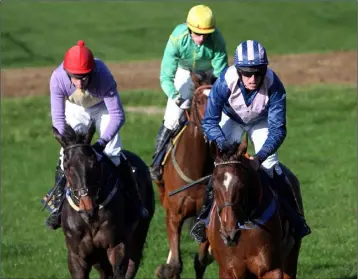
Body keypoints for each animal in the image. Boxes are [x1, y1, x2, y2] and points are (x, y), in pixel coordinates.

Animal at [52, 122, 155, 279]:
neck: (90, 217)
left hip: (138, 237)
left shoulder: (117, 246)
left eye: (93, 163)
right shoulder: (77, 256)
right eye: (67, 166)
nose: (86, 204)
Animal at [206, 138, 304, 279]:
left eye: (241, 186)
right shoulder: (228, 271)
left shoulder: (271, 269)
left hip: (291, 256)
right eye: (213, 187)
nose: (229, 235)